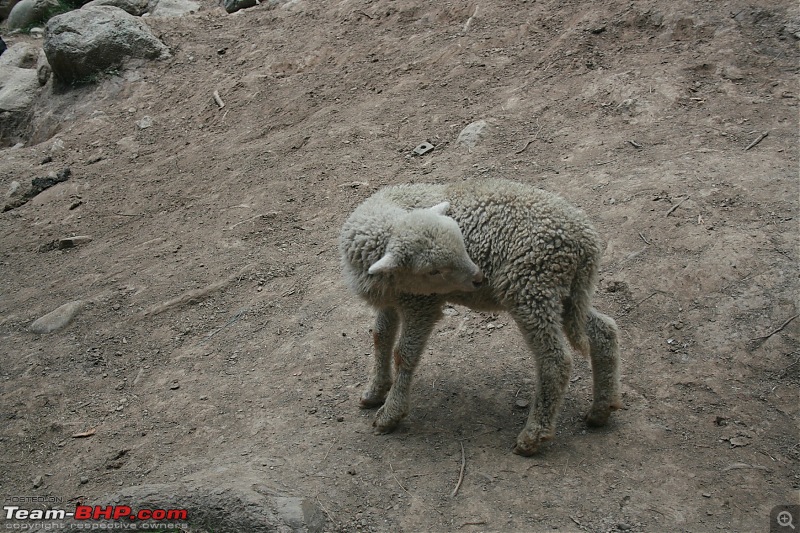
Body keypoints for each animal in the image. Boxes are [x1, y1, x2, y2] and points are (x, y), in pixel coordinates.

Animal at [336, 178, 620, 454]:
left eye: (463, 244)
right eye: (433, 271)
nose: (479, 278)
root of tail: (585, 240)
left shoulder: (422, 304)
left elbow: (403, 354)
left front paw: (391, 413)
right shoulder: (394, 297)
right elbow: (380, 337)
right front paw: (375, 390)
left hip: (531, 286)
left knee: (556, 361)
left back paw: (533, 436)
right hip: (566, 294)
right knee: (604, 331)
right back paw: (601, 409)